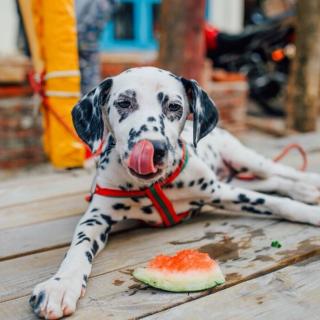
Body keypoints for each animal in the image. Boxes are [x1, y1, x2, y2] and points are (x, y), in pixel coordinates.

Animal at [29, 67, 320, 318]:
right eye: (123, 103)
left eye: (174, 107)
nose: (154, 148)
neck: (153, 186)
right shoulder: (97, 217)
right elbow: (78, 249)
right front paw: (60, 285)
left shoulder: (220, 192)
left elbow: (279, 204)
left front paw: (311, 213)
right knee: (272, 180)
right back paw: (305, 190)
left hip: (243, 160)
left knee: (280, 171)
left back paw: (309, 183)